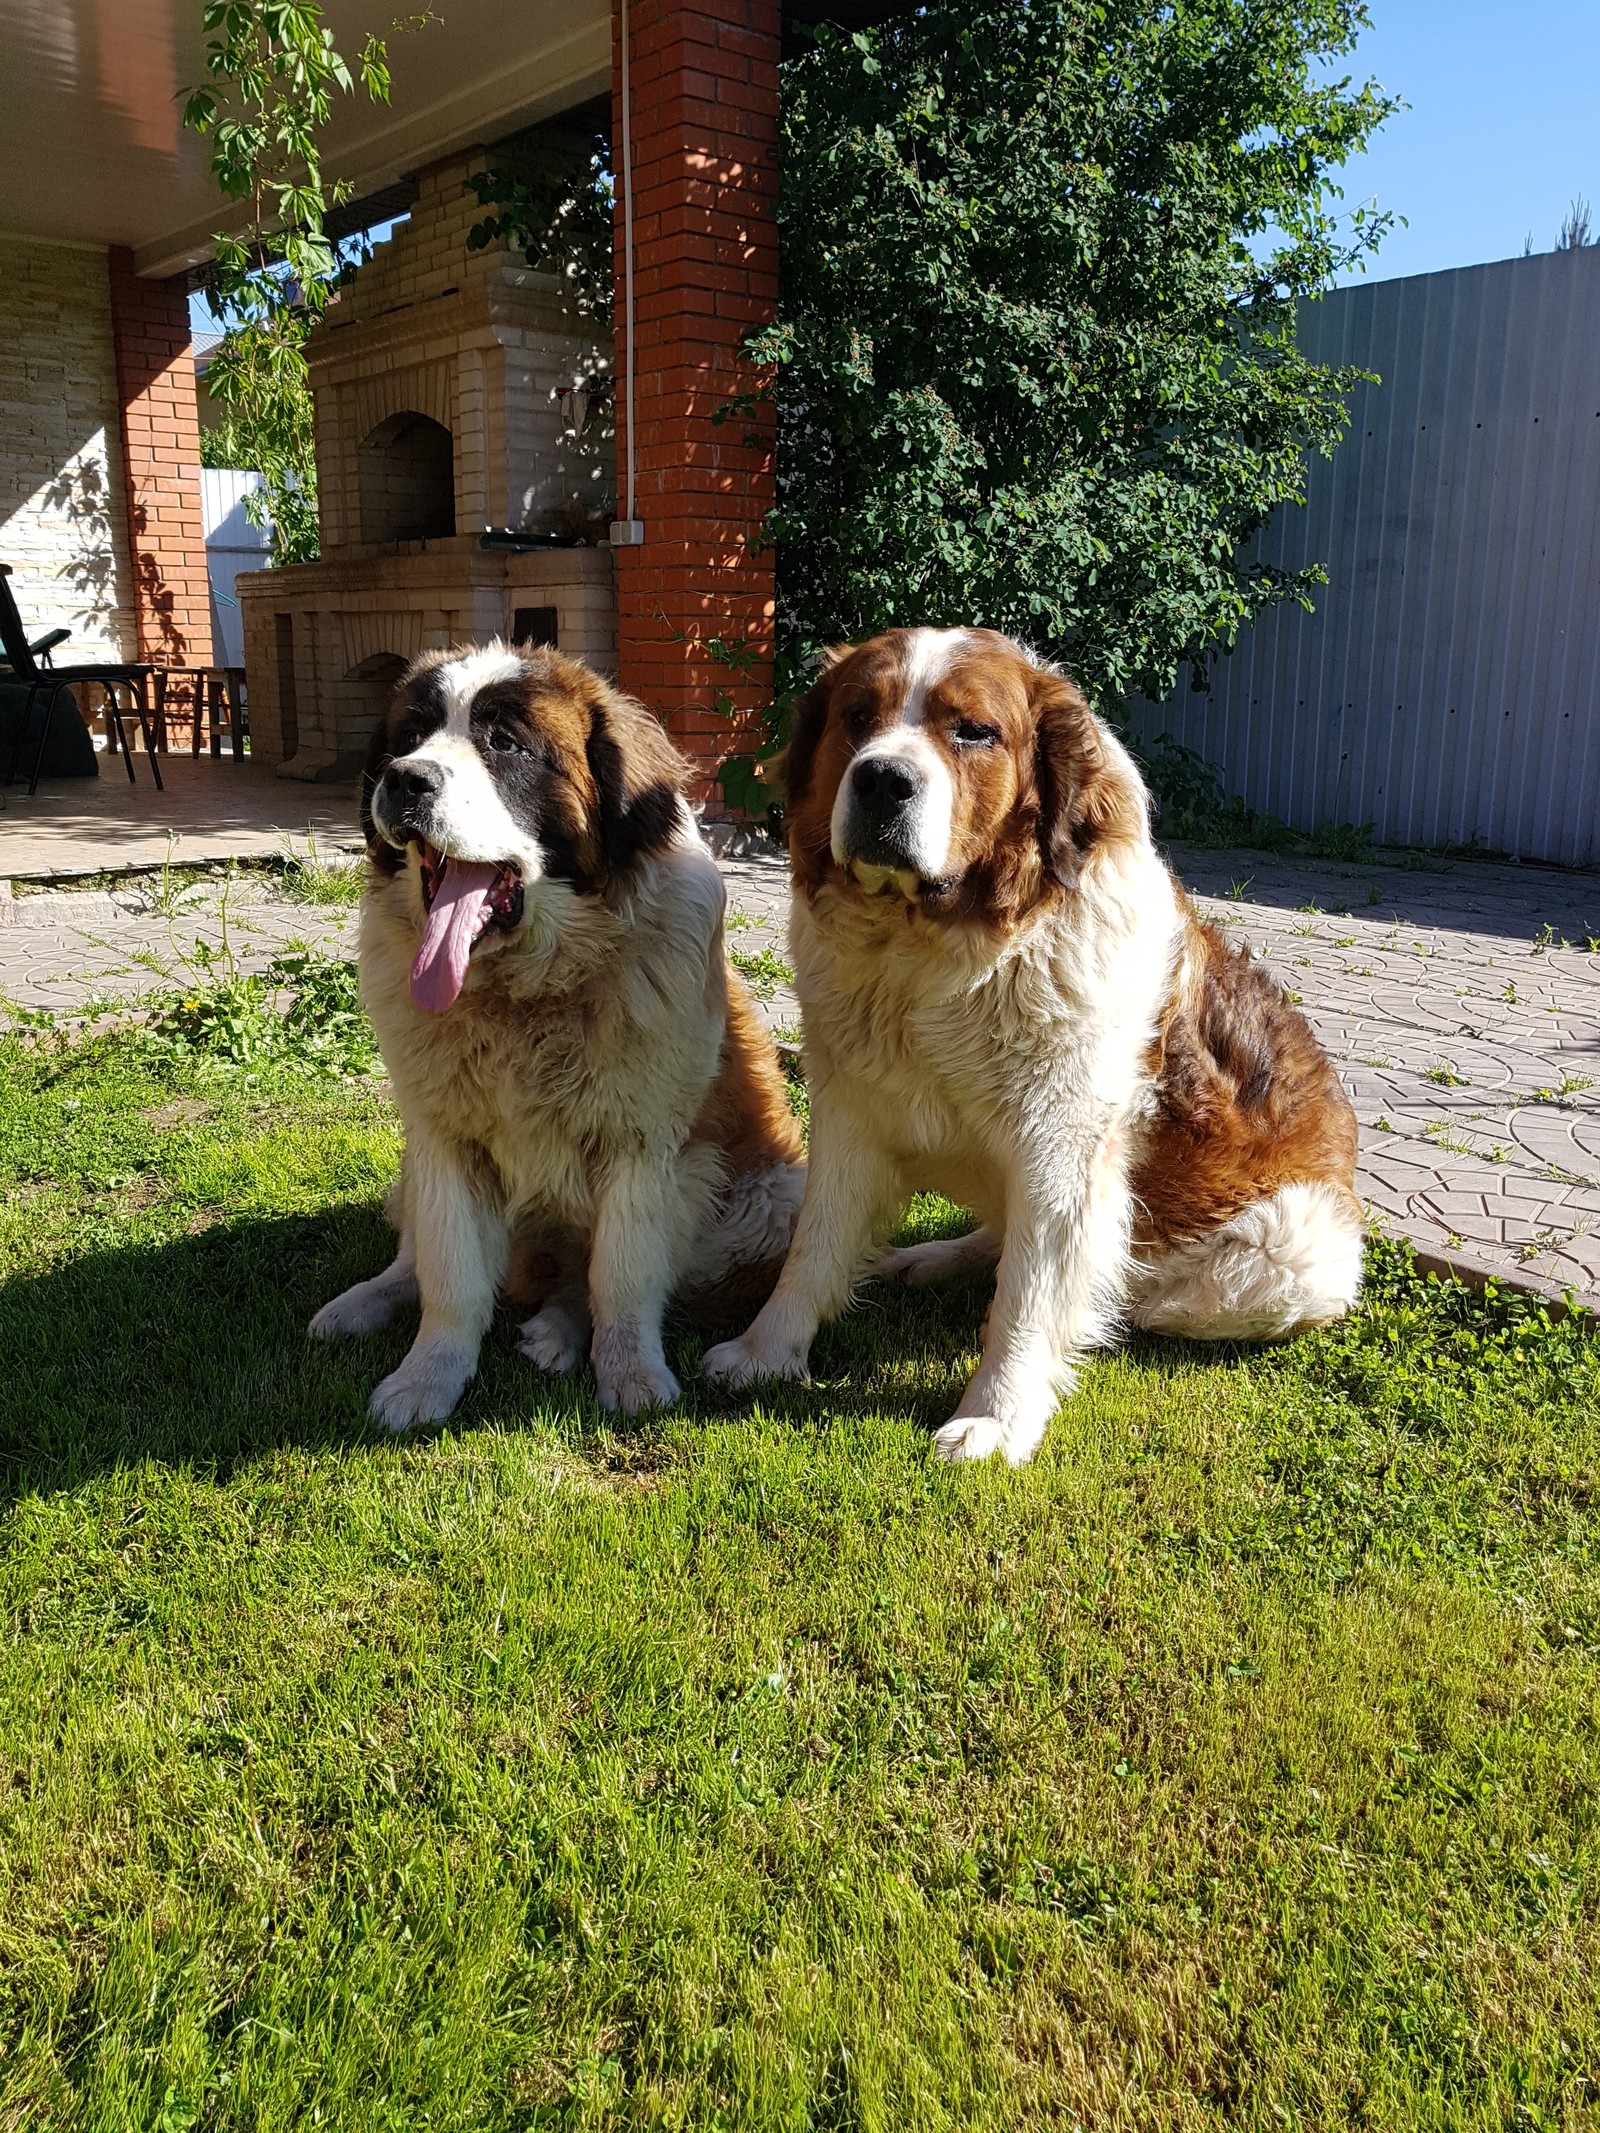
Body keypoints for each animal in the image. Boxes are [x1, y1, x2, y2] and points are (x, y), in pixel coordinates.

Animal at [311, 639, 806, 1424]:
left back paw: (559, 1327)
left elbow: (621, 1277)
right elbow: (451, 1279)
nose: (404, 779)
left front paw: (631, 1374)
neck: (527, 993)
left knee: (592, 1274)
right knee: (416, 1258)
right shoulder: (444, 1144)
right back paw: (365, 1302)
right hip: (415, 1166)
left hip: (772, 1198)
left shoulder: (644, 1148)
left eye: (505, 744)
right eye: (410, 735)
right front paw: (427, 1377)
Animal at [708, 627, 1373, 1467]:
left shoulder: (1061, 1145)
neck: (932, 954)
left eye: (973, 731)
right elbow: (813, 1247)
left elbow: (1030, 1294)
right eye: (857, 717)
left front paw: (996, 1415)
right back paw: (933, 1258)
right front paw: (765, 1350)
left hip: (1292, 1240)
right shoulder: (849, 1113)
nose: (883, 779)